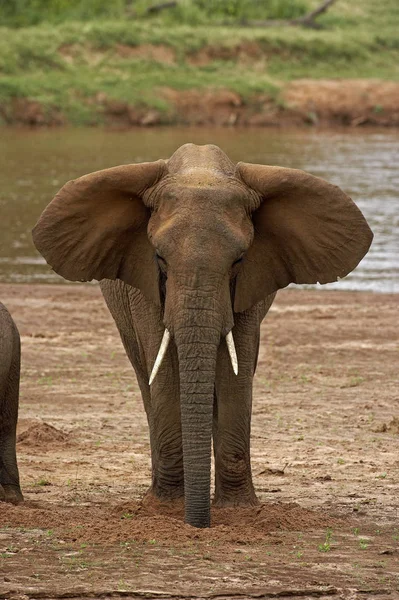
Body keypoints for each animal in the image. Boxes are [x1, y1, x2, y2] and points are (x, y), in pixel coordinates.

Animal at [32, 143, 376, 528]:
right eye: (159, 258)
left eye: (239, 260)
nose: (198, 523)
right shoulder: (144, 287)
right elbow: (165, 373)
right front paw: (166, 508)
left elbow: (235, 374)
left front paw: (239, 511)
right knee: (145, 375)